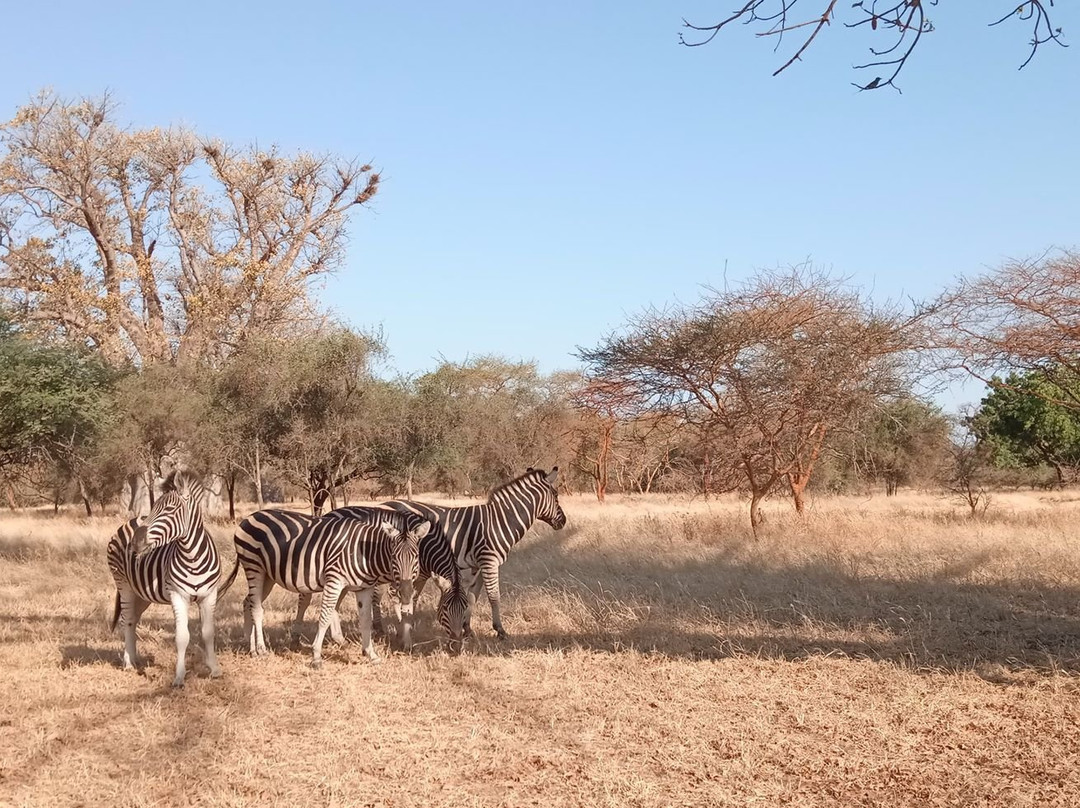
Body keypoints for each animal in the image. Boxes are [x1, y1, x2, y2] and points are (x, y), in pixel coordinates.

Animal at [106, 466, 224, 687]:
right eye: (154, 507)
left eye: (169, 509)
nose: (136, 543)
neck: (193, 557)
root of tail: (132, 520)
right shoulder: (178, 595)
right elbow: (182, 636)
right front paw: (179, 677)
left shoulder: (209, 595)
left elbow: (208, 633)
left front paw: (214, 670)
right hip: (124, 584)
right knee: (127, 620)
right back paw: (128, 663)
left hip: (142, 593)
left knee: (134, 619)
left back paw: (135, 660)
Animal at [225, 512, 466, 656]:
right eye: (445, 610)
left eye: (465, 611)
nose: (456, 645)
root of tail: (249, 517)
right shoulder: (403, 579)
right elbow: (404, 606)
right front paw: (404, 638)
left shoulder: (415, 577)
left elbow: (402, 605)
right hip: (255, 567)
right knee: (261, 606)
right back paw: (262, 648)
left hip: (268, 575)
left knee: (249, 602)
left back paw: (250, 644)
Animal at [382, 466, 570, 639]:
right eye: (556, 496)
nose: (564, 521)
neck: (501, 521)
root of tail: (382, 504)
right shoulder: (489, 561)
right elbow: (494, 596)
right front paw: (500, 630)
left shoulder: (477, 565)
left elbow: (473, 596)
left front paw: (467, 629)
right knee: (394, 592)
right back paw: (401, 626)